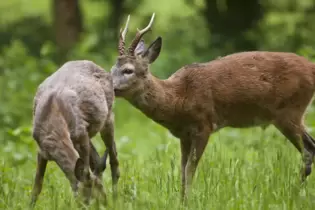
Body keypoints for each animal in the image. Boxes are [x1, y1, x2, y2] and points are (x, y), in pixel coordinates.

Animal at [31, 60, 119, 205]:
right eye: (89, 200)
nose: (106, 203)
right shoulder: (41, 150)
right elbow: (37, 187)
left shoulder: (81, 137)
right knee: (98, 162)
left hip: (108, 117)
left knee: (113, 158)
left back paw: (117, 197)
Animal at [111, 13, 315, 201]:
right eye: (112, 69)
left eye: (128, 70)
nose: (109, 86)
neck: (178, 99)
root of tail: (312, 67)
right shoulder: (183, 135)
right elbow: (182, 170)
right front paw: (181, 200)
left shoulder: (204, 125)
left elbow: (189, 169)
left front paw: (188, 201)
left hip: (290, 111)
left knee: (307, 151)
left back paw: (295, 193)